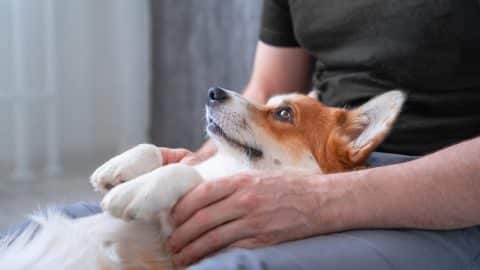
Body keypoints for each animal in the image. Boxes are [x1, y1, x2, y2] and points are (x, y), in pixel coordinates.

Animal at [0, 87, 404, 268]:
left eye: (284, 114)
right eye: (270, 102)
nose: (214, 92)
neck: (233, 165)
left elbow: (184, 173)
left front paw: (137, 191)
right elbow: (157, 150)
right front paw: (118, 170)